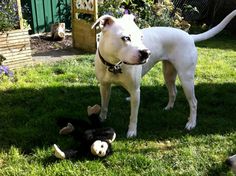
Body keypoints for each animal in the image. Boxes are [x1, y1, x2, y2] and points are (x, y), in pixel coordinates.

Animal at [91, 9, 236, 138]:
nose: (147, 53)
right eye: (126, 38)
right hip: (168, 74)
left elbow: (133, 115)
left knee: (194, 102)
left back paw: (191, 123)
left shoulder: (135, 91)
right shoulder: (104, 86)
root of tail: (189, 36)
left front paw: (132, 132)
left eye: (141, 37)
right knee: (173, 92)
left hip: (186, 78)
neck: (114, 64)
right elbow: (104, 104)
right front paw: (101, 118)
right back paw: (169, 107)